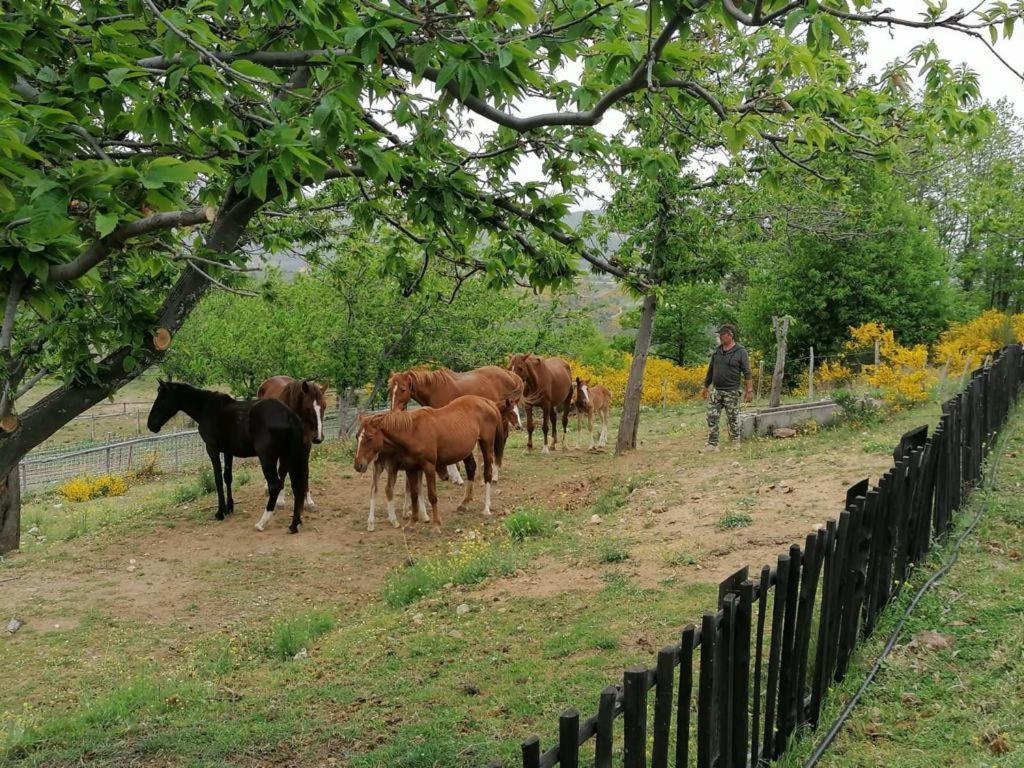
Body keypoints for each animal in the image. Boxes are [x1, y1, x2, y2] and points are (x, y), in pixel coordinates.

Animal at [256, 376, 323, 507]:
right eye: (308, 408)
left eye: (324, 406)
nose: (318, 438)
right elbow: (283, 470)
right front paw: (280, 500)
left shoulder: (306, 446)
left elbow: (306, 471)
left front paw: (309, 500)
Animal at [387, 364, 524, 483]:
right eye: (390, 389)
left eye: (403, 389)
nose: (394, 411)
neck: (435, 390)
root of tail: (509, 374)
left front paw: (456, 477)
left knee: (501, 440)